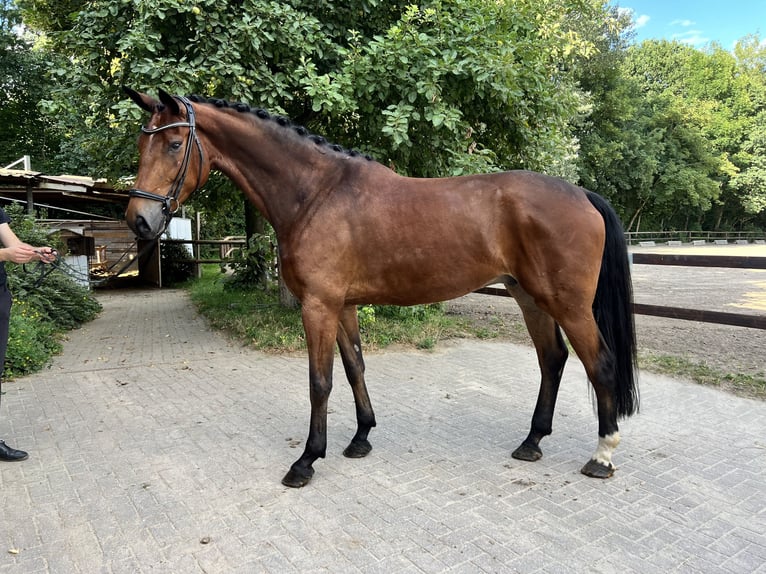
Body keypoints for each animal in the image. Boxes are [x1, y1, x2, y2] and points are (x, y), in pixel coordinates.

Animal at [123, 88, 640, 488]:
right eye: (142, 145)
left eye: (174, 144)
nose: (139, 221)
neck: (315, 193)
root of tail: (582, 194)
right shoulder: (343, 305)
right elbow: (355, 368)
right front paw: (360, 438)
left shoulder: (318, 306)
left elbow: (320, 382)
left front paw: (306, 461)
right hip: (528, 296)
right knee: (552, 359)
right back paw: (531, 442)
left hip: (568, 304)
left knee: (600, 363)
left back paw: (602, 456)